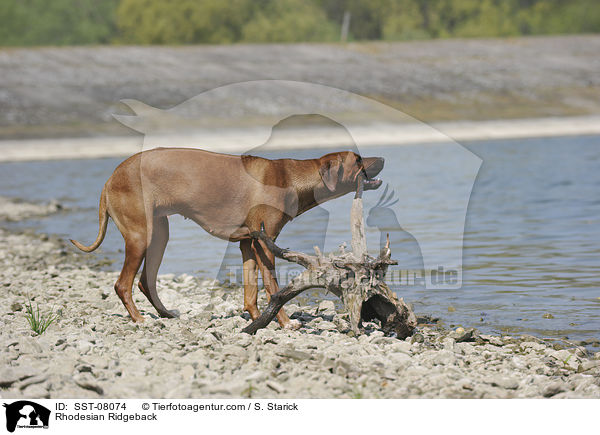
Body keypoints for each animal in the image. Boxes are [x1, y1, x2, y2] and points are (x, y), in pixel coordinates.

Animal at [71, 148, 384, 326]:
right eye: (358, 160)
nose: (382, 158)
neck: (292, 178)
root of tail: (111, 178)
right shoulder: (266, 244)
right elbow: (273, 288)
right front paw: (284, 322)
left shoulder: (249, 244)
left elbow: (251, 291)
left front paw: (257, 320)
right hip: (140, 236)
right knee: (122, 285)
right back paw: (138, 319)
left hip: (159, 235)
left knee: (145, 282)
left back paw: (166, 315)